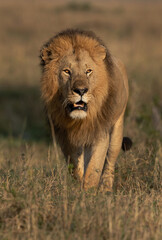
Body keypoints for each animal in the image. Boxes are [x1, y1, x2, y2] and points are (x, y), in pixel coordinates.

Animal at [39, 29, 131, 192]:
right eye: (67, 71)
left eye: (88, 71)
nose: (81, 90)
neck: (80, 120)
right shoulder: (66, 137)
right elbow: (76, 167)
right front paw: (79, 187)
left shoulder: (100, 132)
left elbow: (94, 168)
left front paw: (88, 193)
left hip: (117, 127)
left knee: (110, 162)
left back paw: (106, 187)